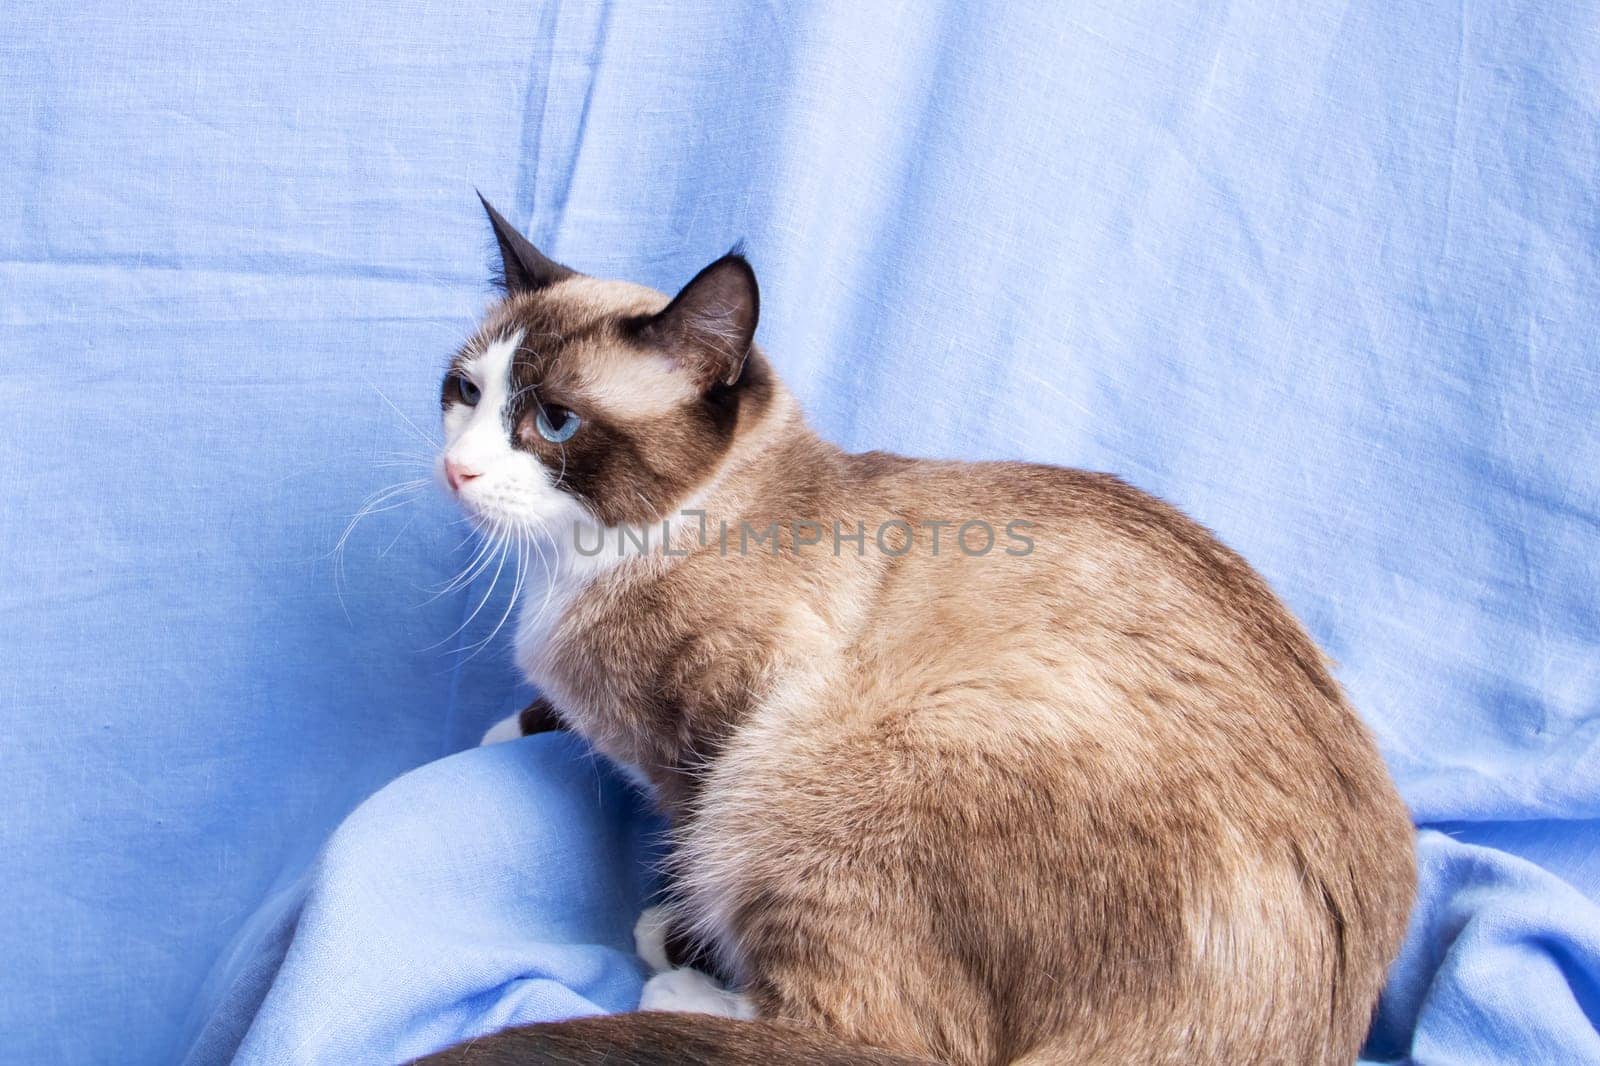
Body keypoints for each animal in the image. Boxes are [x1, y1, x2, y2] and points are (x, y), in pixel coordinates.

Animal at [409, 195, 1414, 1056]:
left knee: (897, 1042)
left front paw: (675, 934)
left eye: (555, 421)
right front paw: (512, 727)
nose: (458, 471)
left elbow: (686, 846)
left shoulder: (716, 734)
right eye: (464, 392)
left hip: (811, 772)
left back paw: (682, 989)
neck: (573, 571)